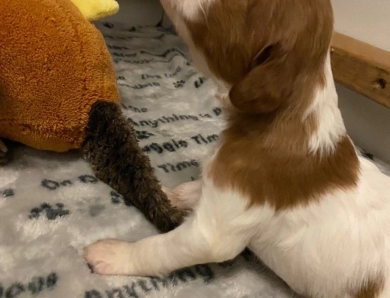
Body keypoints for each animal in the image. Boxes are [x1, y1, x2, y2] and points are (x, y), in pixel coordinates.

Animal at [84, 1, 390, 296]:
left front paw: (113, 253)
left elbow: (160, 248)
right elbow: (194, 189)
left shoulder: (212, 232)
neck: (285, 115)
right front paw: (169, 194)